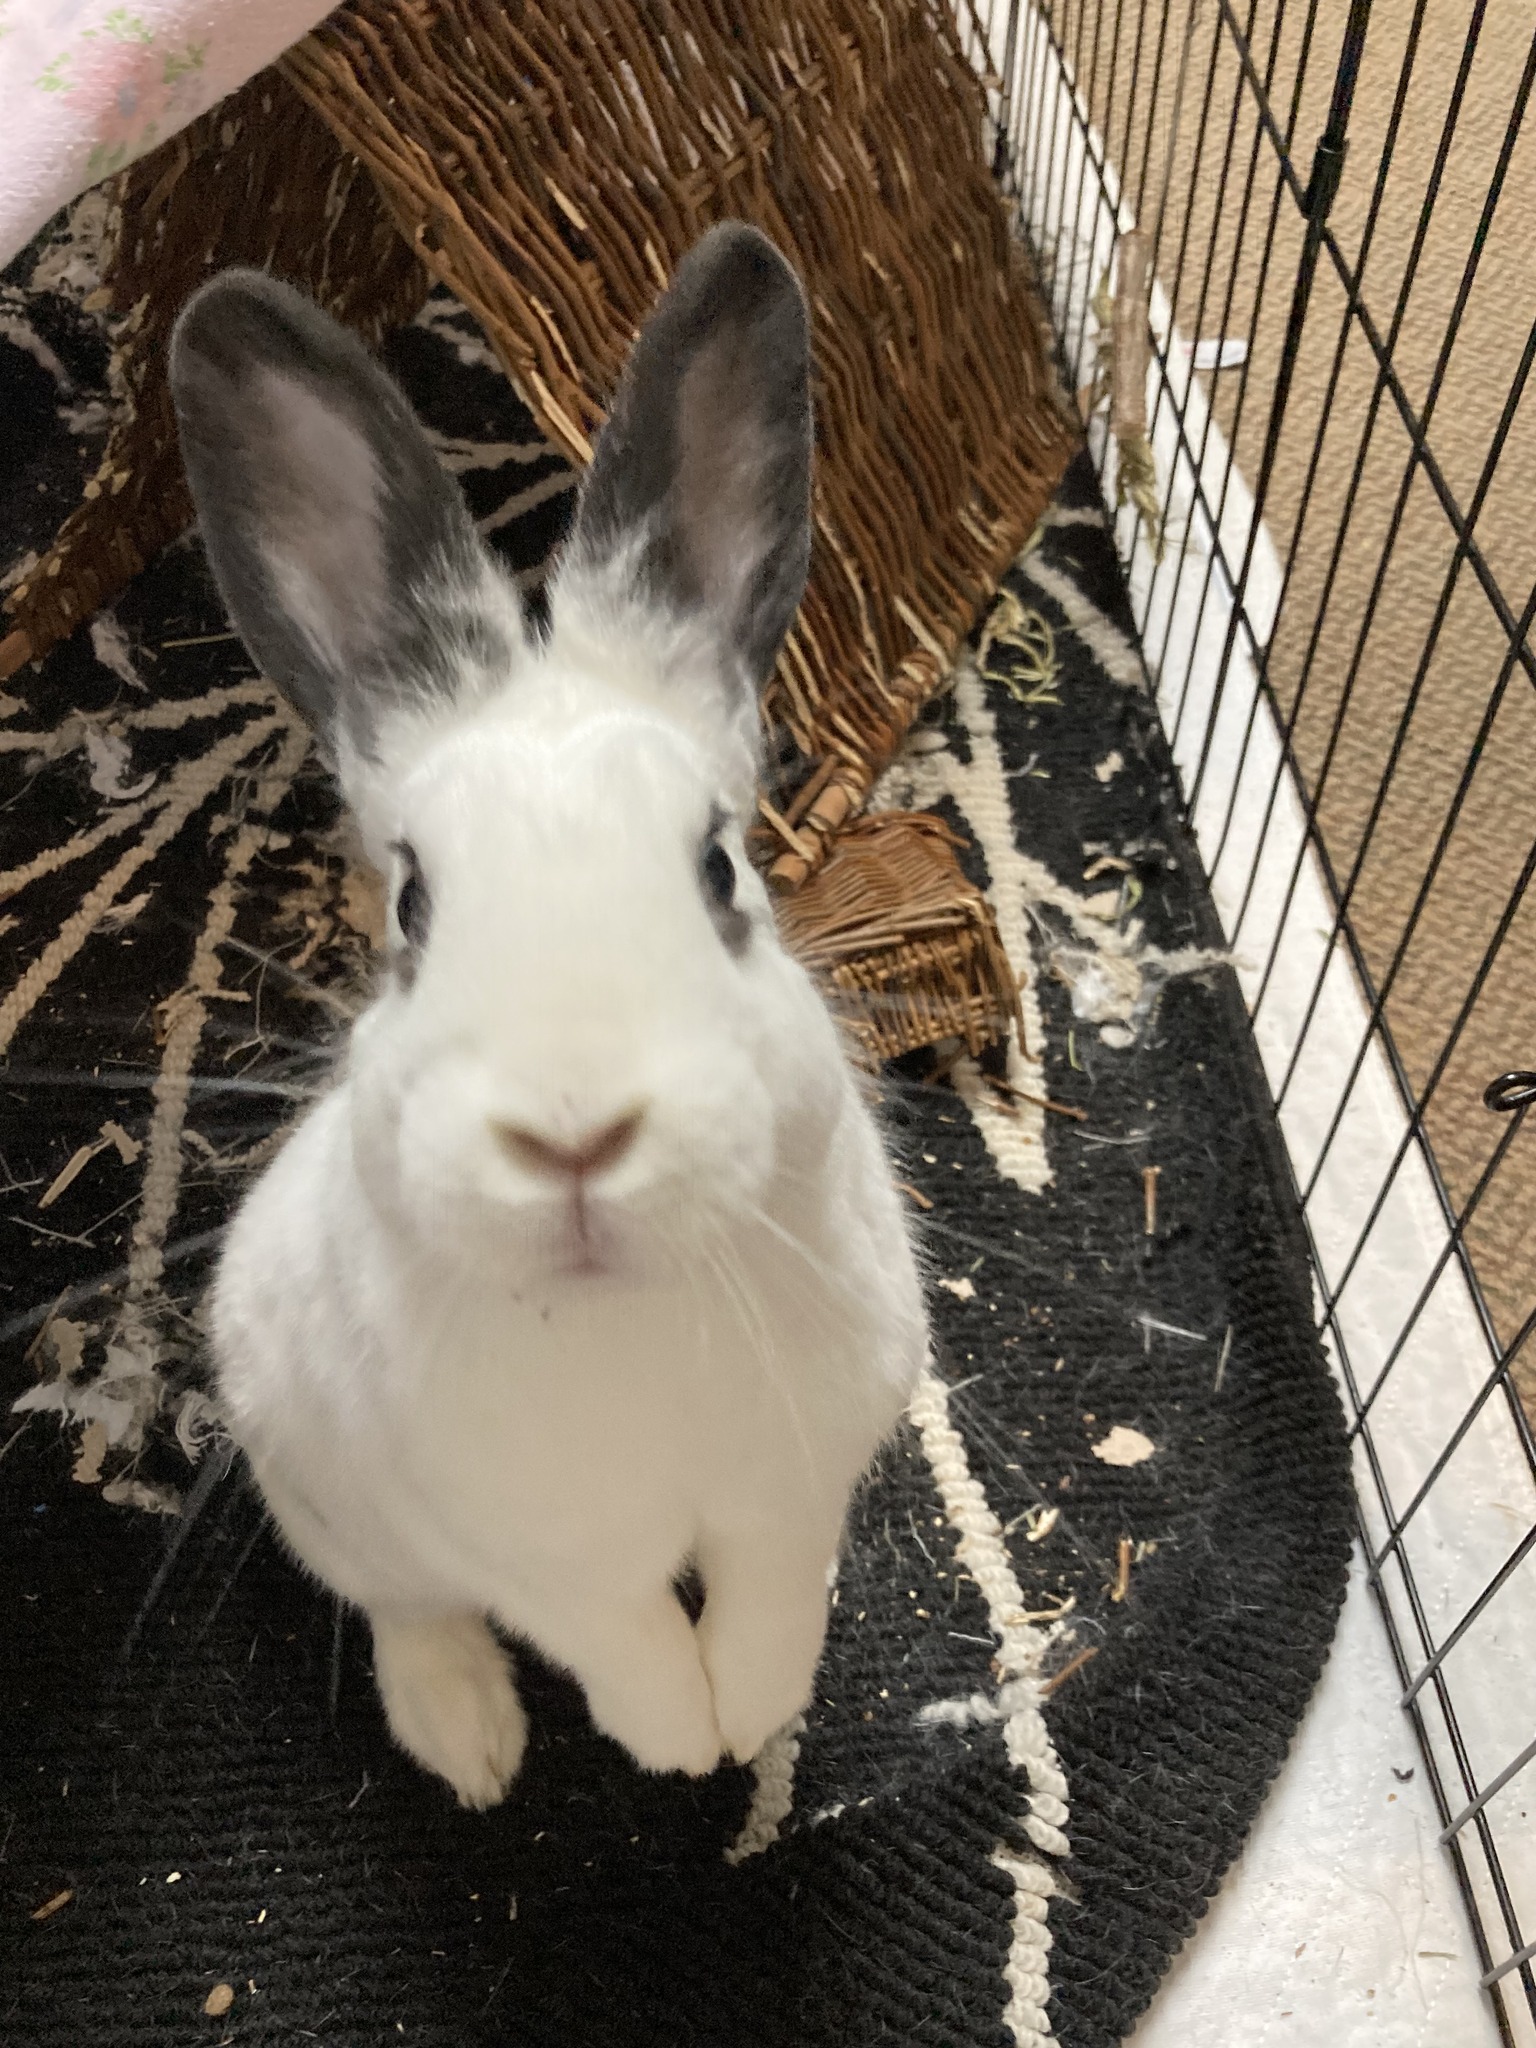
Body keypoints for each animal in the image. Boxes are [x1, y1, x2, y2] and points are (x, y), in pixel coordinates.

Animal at [168, 223, 929, 1809]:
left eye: (721, 867)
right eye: (410, 907)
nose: (575, 1136)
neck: (621, 1309)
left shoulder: (793, 1492)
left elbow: (772, 1597)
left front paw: (756, 1712)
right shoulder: (543, 1562)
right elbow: (615, 1638)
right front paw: (680, 1743)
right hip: (324, 1495)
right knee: (407, 1609)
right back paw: (468, 1743)